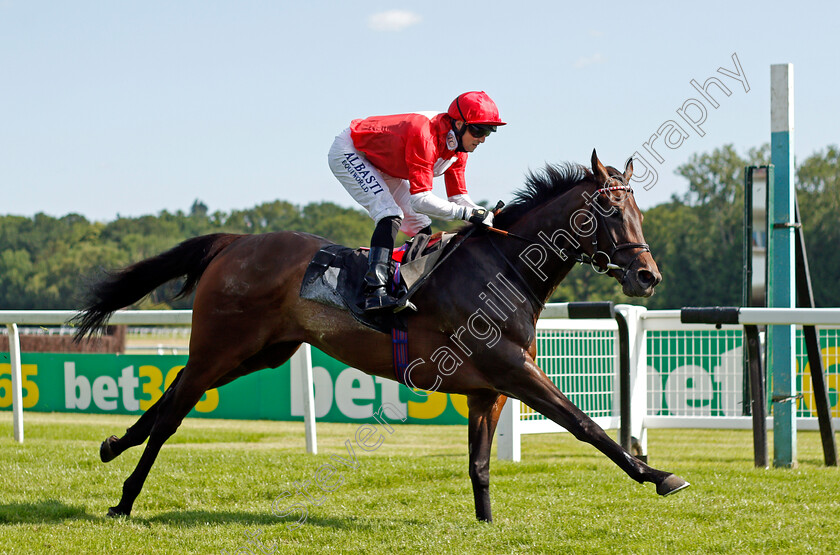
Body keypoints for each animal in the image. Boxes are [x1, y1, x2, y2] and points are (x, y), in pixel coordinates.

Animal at [72, 151, 688, 520]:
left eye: (637, 208)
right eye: (609, 208)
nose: (648, 276)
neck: (503, 267)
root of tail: (236, 242)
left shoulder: (488, 389)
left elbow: (480, 464)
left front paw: (486, 524)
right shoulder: (512, 369)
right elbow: (584, 424)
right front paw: (658, 475)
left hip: (261, 353)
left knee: (176, 387)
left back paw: (111, 445)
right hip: (224, 344)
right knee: (175, 410)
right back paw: (125, 500)